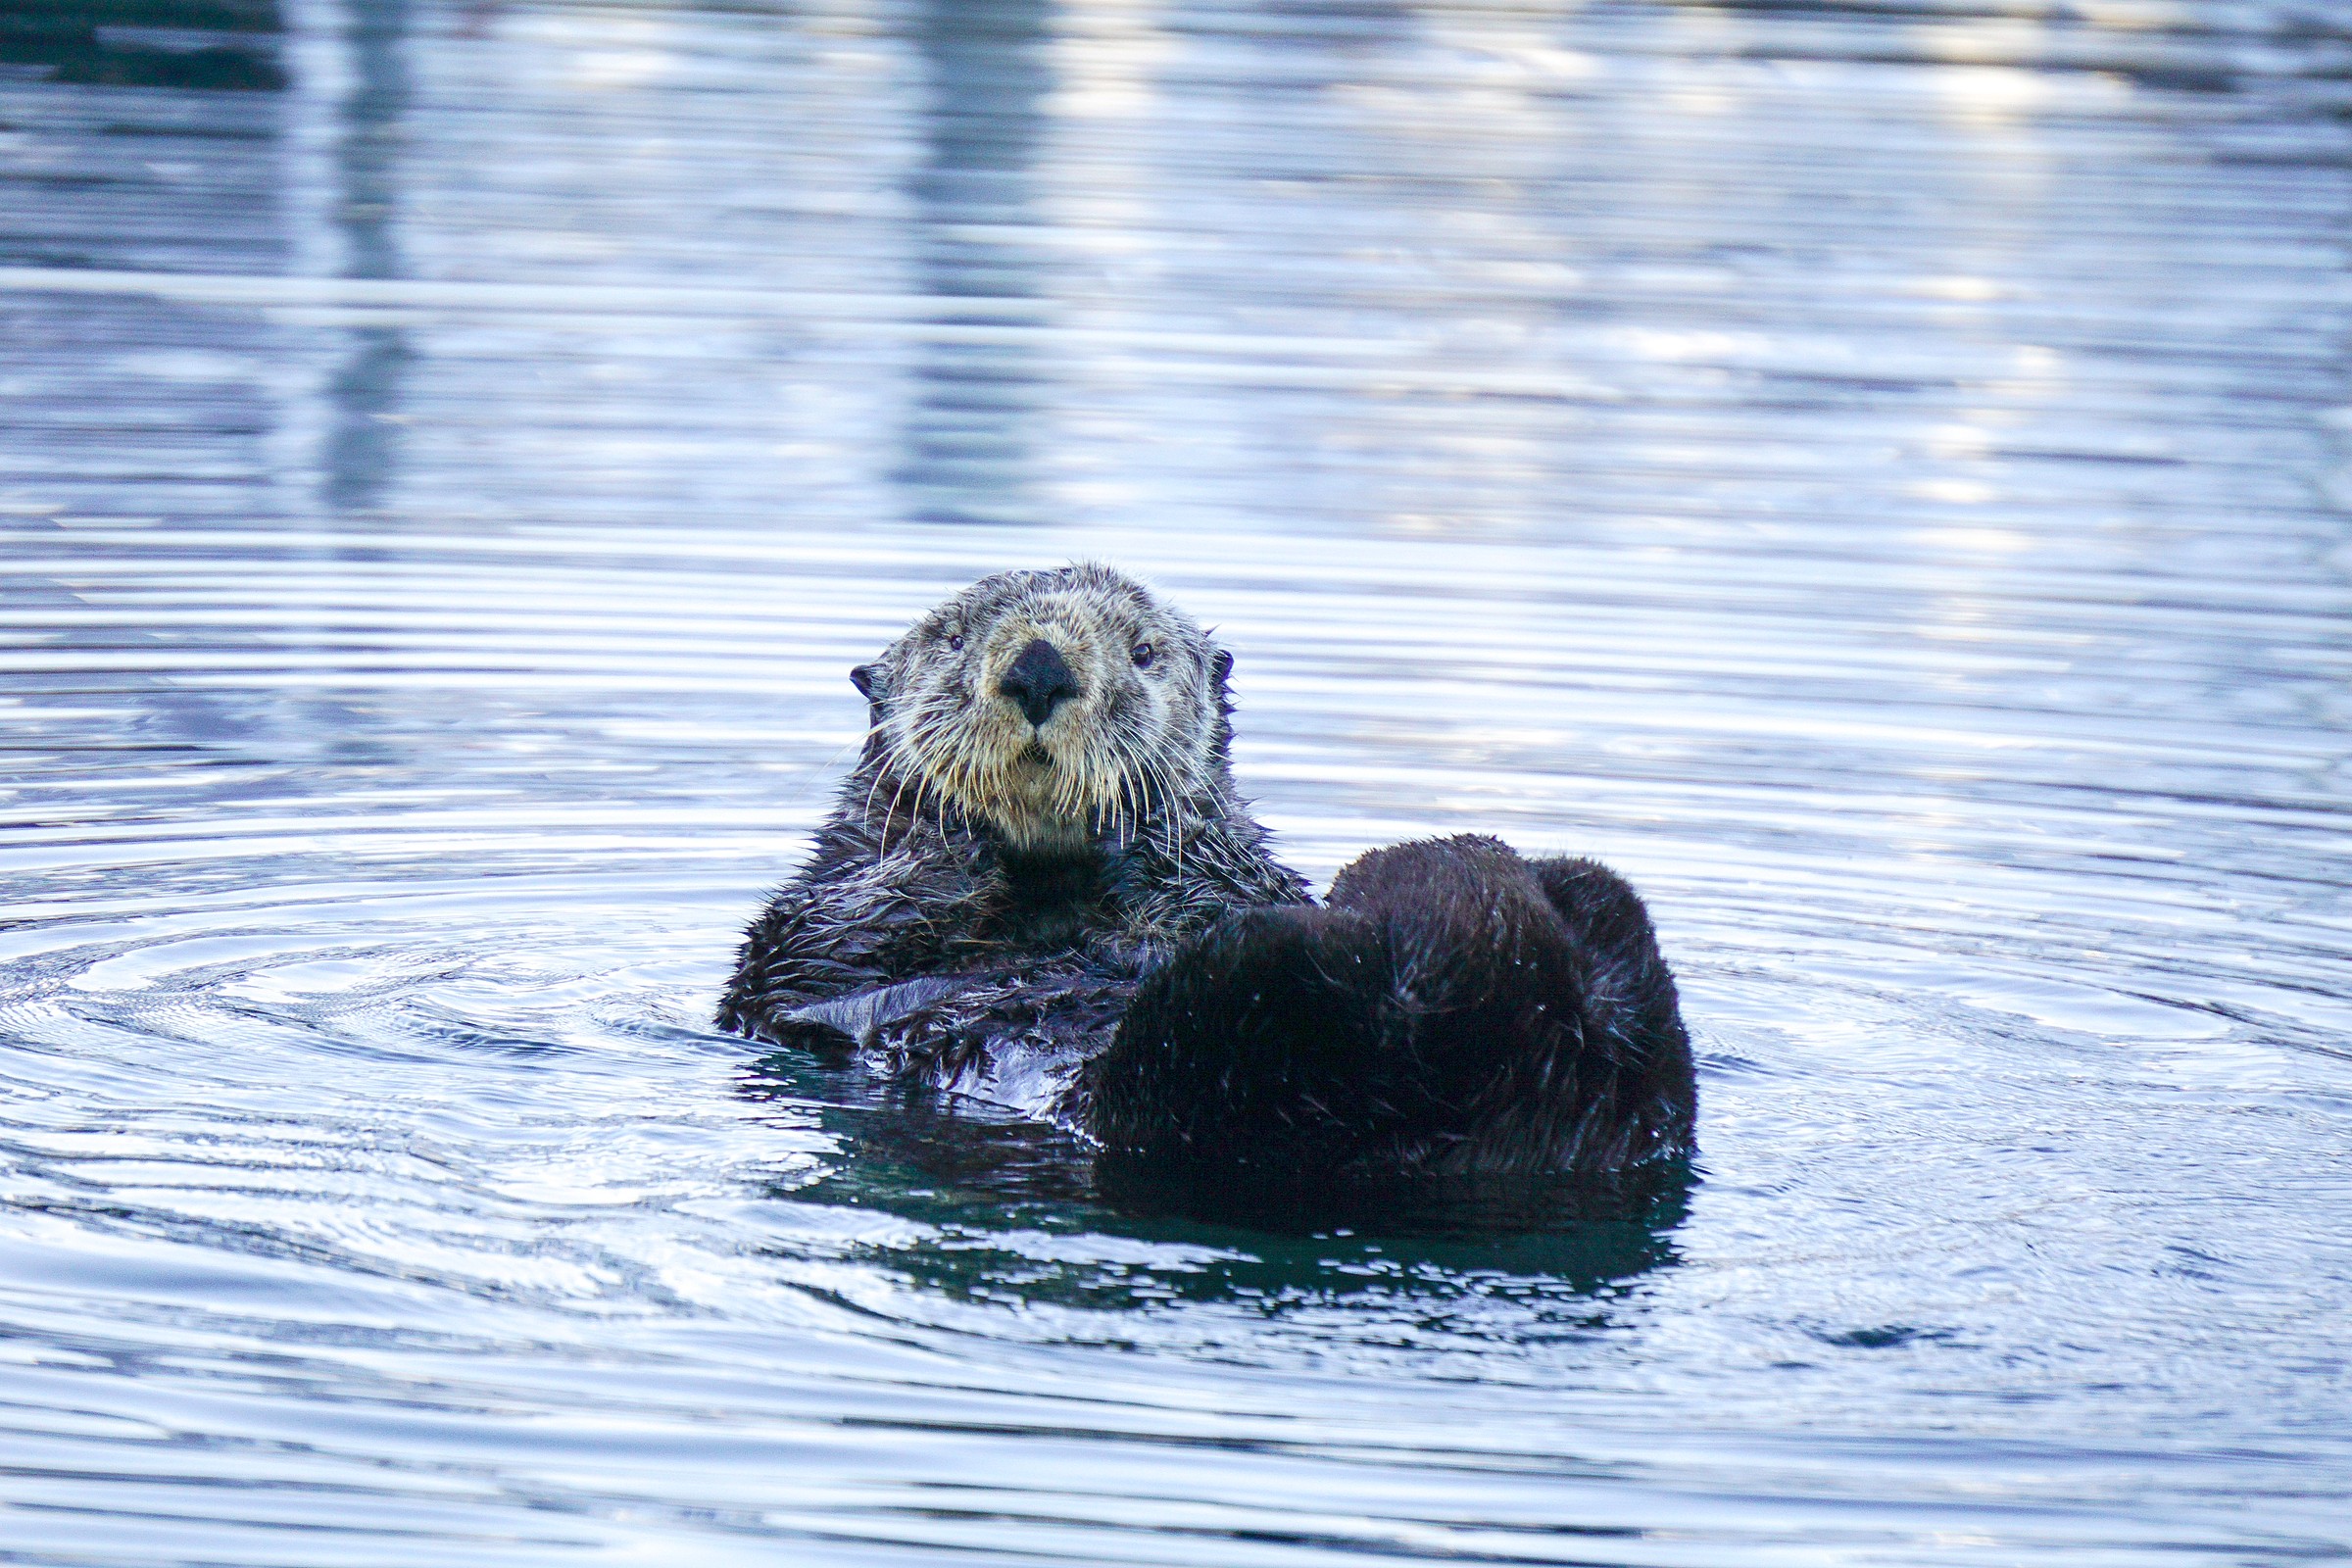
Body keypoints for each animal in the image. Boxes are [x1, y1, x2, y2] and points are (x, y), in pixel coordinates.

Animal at [719, 565, 1695, 1176]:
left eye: (1144, 652)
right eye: (954, 639)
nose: (1038, 667)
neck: (1052, 892)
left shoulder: (1241, 881)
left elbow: (1217, 879)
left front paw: (1152, 828)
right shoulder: (800, 937)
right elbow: (820, 939)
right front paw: (952, 828)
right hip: (1214, 1074)